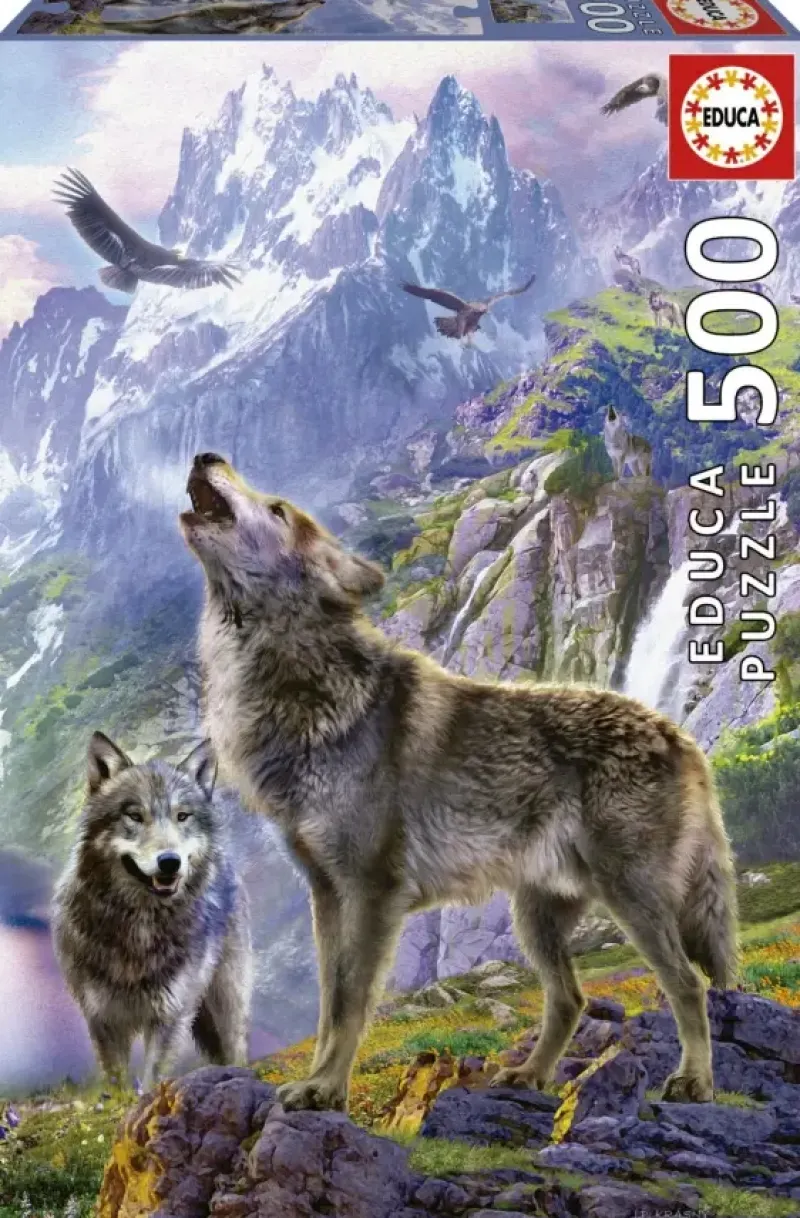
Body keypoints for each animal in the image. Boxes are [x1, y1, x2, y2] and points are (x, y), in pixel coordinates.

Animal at [52, 732, 252, 1090]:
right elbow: (117, 1083)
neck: (139, 927)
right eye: (134, 815)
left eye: (182, 816)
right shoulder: (103, 1019)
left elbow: (151, 1079)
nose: (170, 862)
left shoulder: (169, 1016)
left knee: (236, 1048)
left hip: (224, 1000)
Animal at [179, 452, 737, 1115]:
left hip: (632, 900)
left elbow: (350, 1002)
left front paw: (325, 1089)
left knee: (688, 983)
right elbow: (327, 1005)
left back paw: (695, 1081)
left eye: (277, 509)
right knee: (571, 998)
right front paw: (318, 1084)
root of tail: (681, 736)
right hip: (537, 917)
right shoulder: (327, 894)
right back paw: (529, 1076)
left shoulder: (372, 892)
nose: (207, 456)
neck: (301, 688)